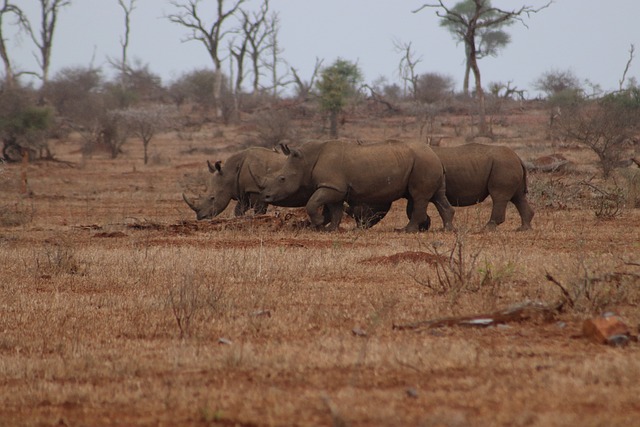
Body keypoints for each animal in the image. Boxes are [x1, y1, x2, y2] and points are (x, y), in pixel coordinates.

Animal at [258, 139, 452, 232]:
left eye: (282, 179)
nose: (266, 196)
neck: (306, 161)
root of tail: (434, 154)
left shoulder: (332, 186)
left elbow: (312, 202)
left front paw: (319, 223)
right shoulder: (335, 188)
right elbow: (335, 209)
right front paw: (331, 229)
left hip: (423, 163)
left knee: (419, 197)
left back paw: (405, 231)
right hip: (427, 162)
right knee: (438, 197)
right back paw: (447, 229)